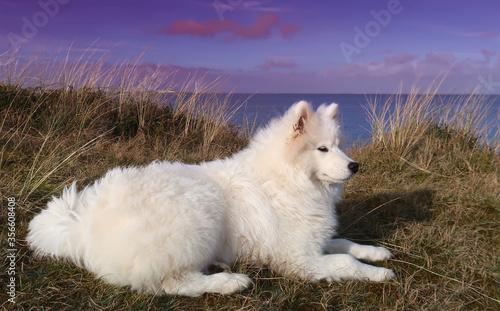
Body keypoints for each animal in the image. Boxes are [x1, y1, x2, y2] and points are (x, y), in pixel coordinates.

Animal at [27, 102, 394, 298]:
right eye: (322, 149)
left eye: (340, 146)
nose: (355, 166)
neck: (285, 179)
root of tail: (83, 226)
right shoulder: (297, 257)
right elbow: (344, 262)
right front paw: (378, 274)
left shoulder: (314, 240)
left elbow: (344, 242)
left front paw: (375, 252)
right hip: (199, 214)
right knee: (172, 283)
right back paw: (229, 281)